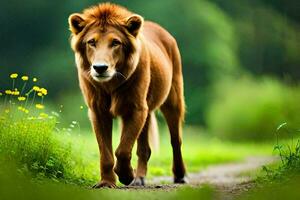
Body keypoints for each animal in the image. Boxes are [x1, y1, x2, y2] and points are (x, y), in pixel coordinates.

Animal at [68, 2, 185, 188]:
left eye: (115, 42)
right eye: (91, 42)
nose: (100, 68)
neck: (110, 84)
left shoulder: (136, 108)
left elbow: (122, 150)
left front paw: (126, 175)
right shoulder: (97, 111)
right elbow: (106, 153)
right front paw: (107, 182)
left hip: (173, 100)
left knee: (176, 141)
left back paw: (179, 175)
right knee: (145, 149)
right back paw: (140, 178)